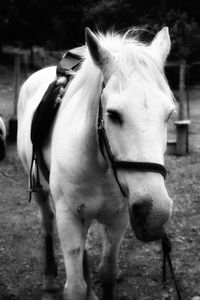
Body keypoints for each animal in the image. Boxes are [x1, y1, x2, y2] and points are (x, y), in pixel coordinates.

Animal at [17, 26, 175, 300]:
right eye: (113, 114)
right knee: (46, 225)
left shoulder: (119, 217)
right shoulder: (68, 216)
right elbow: (75, 287)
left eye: (168, 115)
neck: (99, 165)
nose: (155, 214)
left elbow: (108, 272)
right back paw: (49, 278)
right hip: (40, 192)